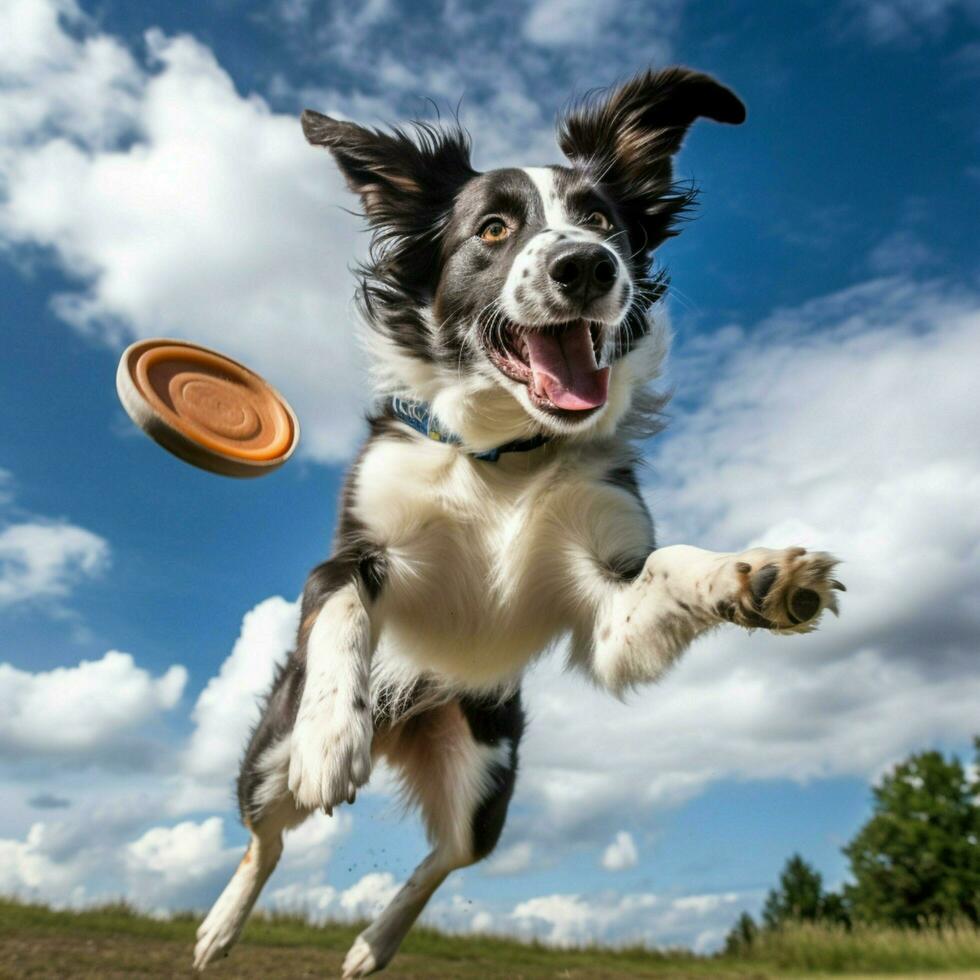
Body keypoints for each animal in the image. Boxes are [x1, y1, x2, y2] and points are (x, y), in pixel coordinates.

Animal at [193, 65, 844, 976]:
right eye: (494, 229)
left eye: (602, 221)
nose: (585, 266)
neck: (505, 456)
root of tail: (404, 732)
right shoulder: (351, 553)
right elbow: (345, 611)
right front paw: (333, 736)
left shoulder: (611, 614)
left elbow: (671, 565)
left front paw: (756, 574)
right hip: (265, 760)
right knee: (268, 837)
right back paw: (222, 925)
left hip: (488, 767)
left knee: (448, 854)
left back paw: (372, 943)